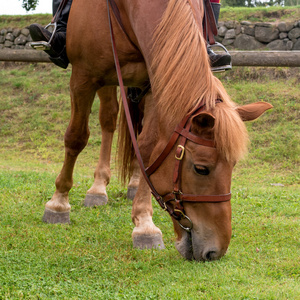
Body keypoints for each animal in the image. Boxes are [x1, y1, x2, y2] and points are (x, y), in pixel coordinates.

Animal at [43, 0, 274, 262]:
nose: (215, 251)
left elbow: (148, 148)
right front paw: (58, 203)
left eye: (233, 166)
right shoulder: (84, 77)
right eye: (201, 169)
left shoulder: (157, 83)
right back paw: (98, 188)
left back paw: (131, 185)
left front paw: (144, 224)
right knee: (107, 119)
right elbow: (76, 137)